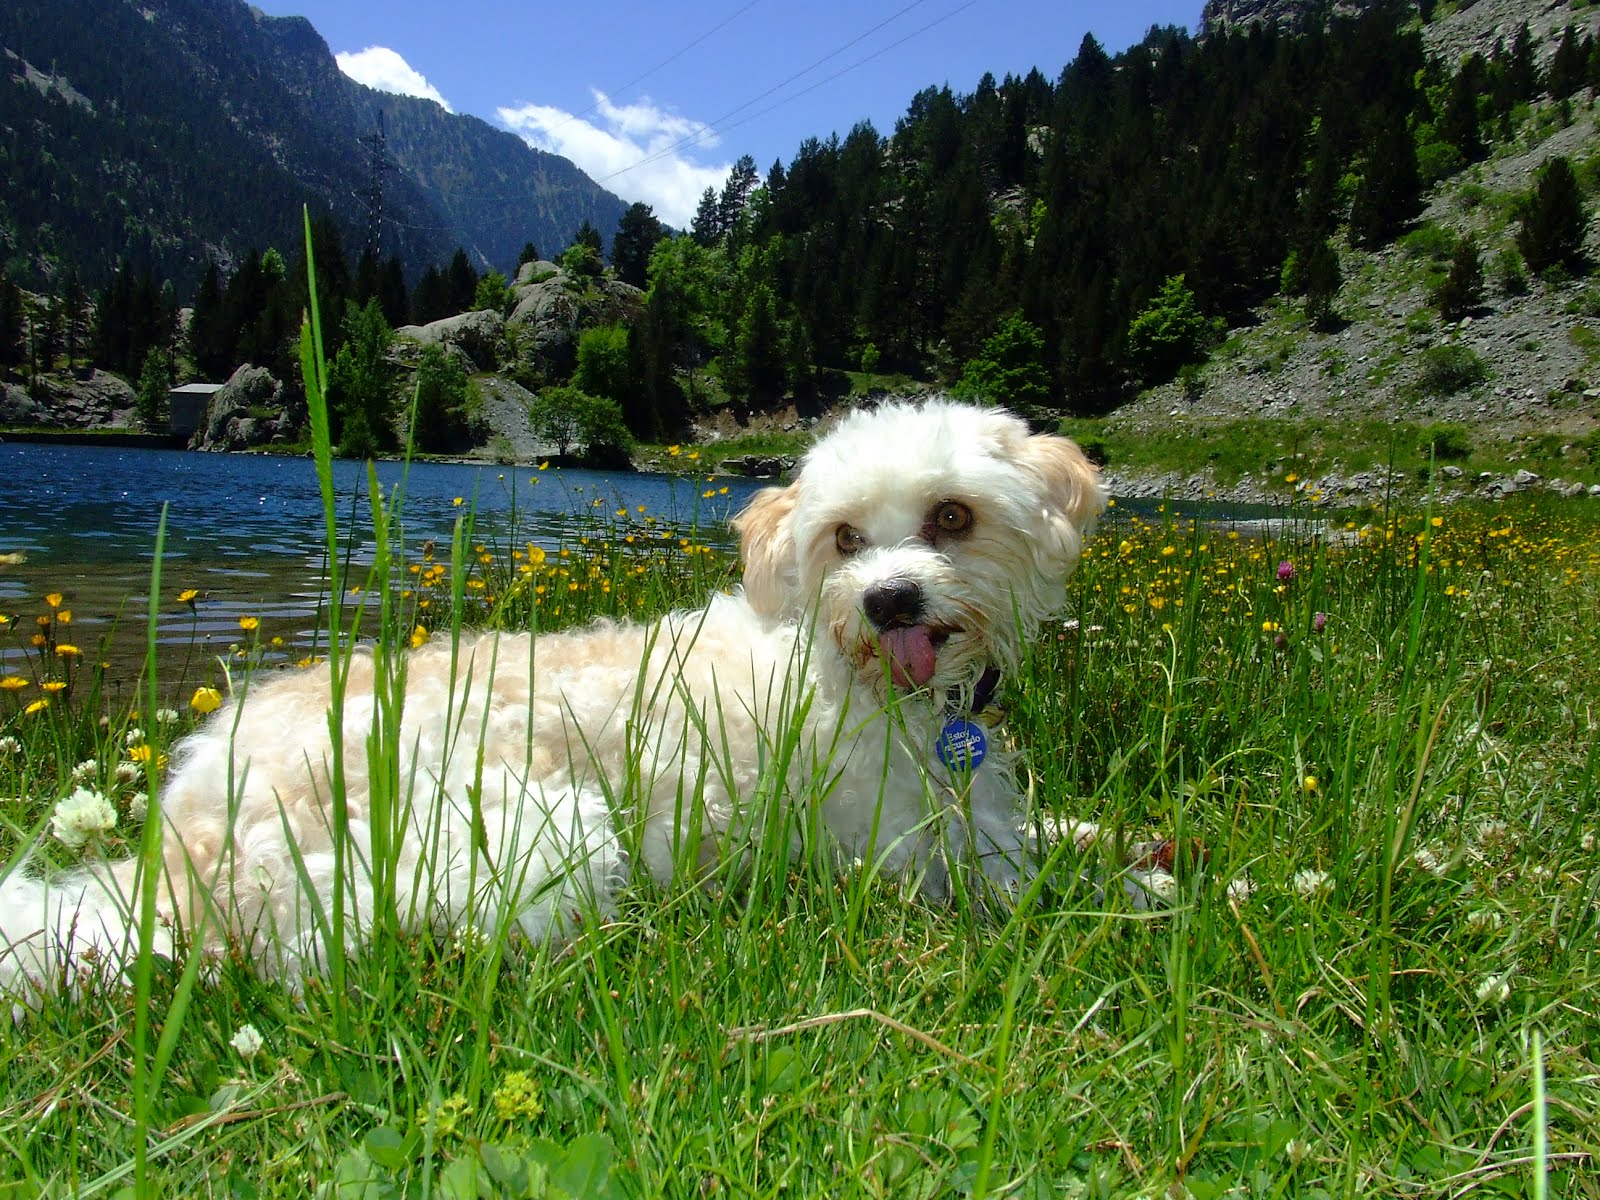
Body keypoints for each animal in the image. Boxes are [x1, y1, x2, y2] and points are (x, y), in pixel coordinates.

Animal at [0, 400, 1100, 998]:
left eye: (951, 517)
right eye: (844, 538)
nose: (889, 599)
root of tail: (183, 847)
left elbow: (1065, 833)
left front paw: (1101, 836)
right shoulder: (910, 860)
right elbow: (1050, 887)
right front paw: (1126, 891)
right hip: (531, 833)